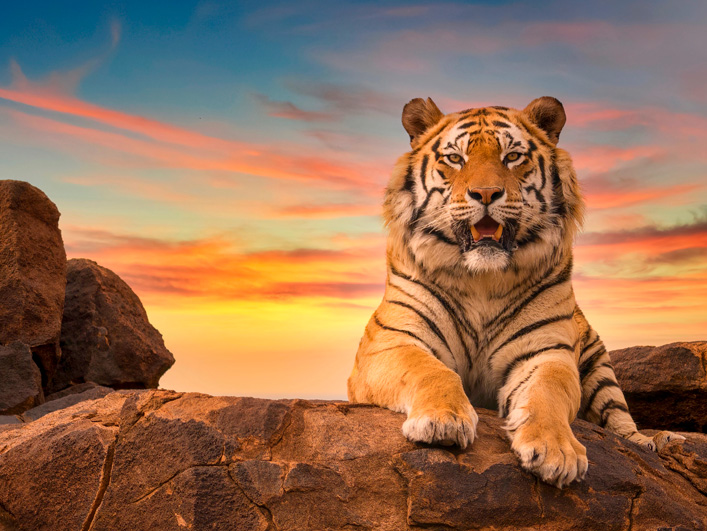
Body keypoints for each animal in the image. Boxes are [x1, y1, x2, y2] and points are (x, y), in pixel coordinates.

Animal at [347, 96, 684, 488]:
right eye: (455, 158)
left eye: (512, 156)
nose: (486, 194)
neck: (481, 280)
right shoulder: (391, 342)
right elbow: (431, 371)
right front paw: (443, 421)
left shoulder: (547, 352)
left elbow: (547, 393)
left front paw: (556, 451)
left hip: (601, 369)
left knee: (621, 423)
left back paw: (656, 442)